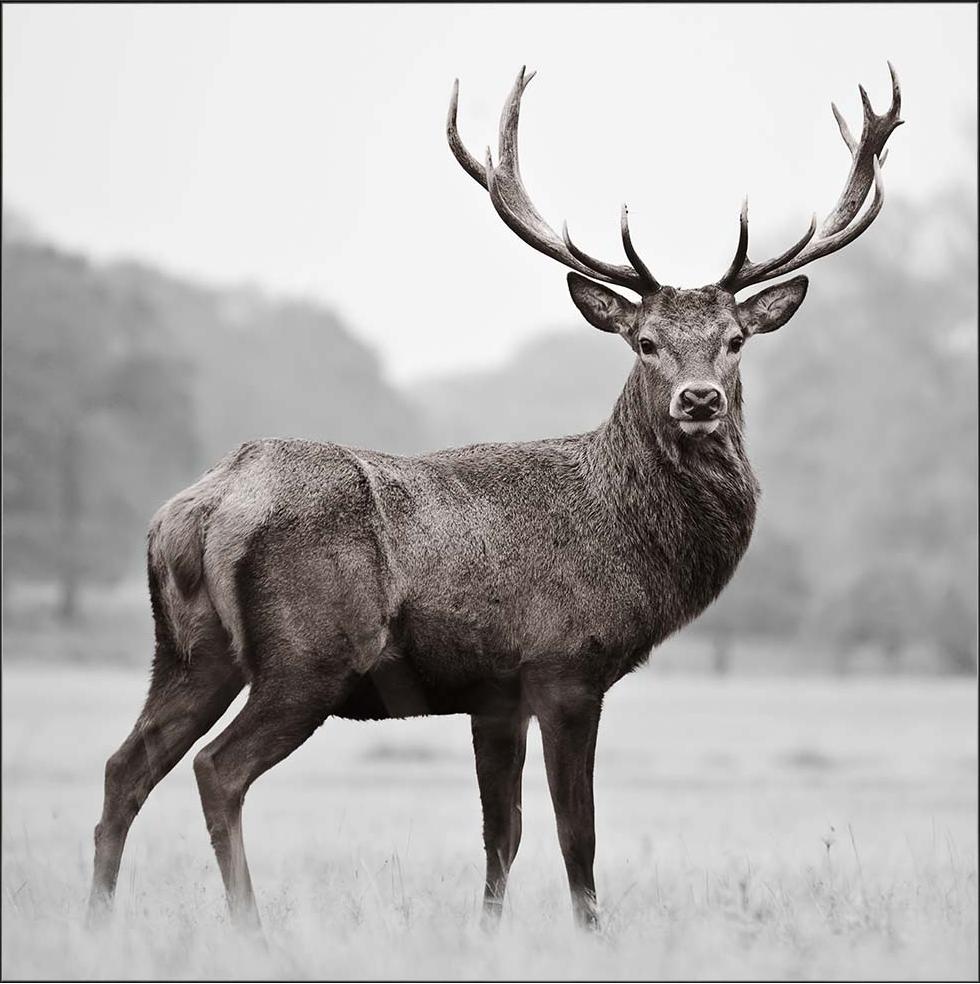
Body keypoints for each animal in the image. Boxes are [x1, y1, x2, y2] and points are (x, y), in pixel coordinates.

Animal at [88, 64, 902, 933]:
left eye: (736, 340)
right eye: (644, 341)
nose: (700, 399)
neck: (630, 542)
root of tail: (202, 506)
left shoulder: (493, 694)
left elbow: (500, 835)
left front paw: (487, 934)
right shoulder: (565, 665)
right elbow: (577, 834)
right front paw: (591, 935)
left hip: (188, 651)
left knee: (124, 766)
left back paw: (97, 919)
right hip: (308, 655)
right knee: (217, 769)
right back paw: (250, 928)